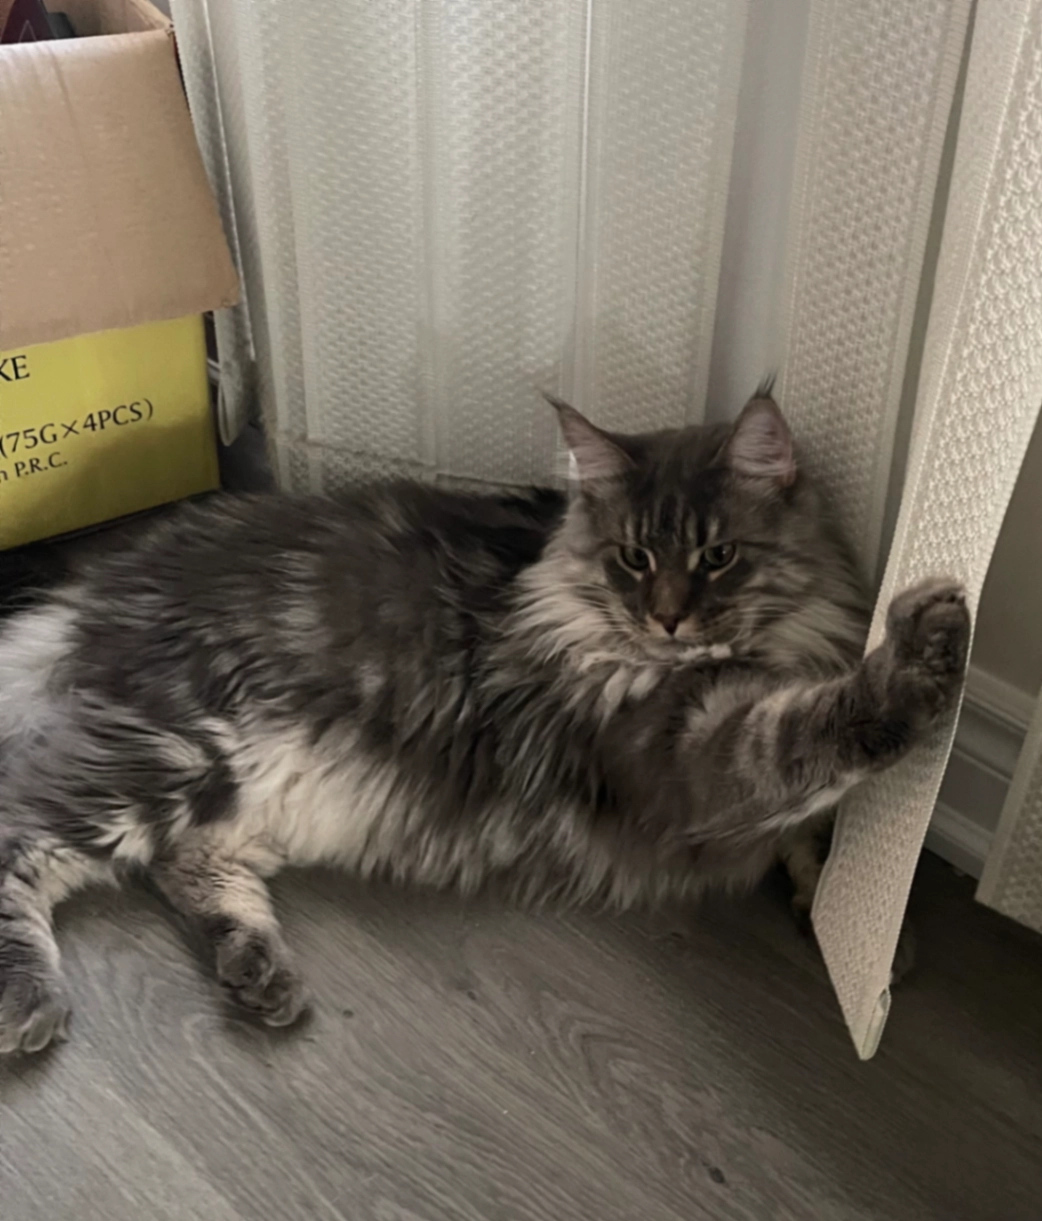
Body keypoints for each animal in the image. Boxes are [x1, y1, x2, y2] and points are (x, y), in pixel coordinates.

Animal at [0, 389, 969, 1053]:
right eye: (633, 558)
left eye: (718, 555)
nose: (667, 620)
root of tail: (99, 585)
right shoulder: (692, 754)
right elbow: (816, 735)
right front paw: (927, 644)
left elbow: (817, 822)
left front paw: (851, 918)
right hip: (181, 751)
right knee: (24, 835)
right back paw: (29, 1000)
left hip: (247, 794)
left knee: (184, 865)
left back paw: (259, 971)